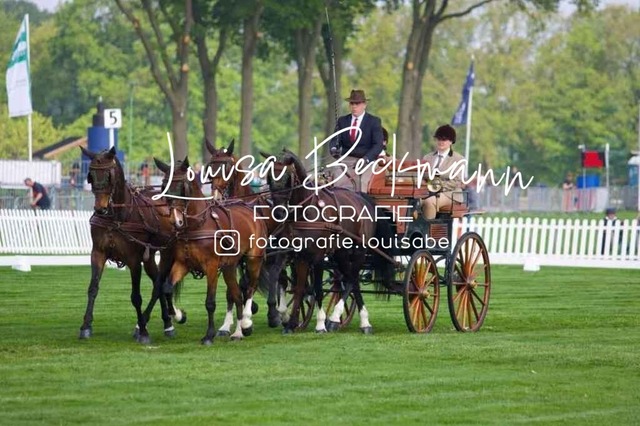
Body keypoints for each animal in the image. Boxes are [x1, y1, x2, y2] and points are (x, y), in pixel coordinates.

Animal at [79, 146, 185, 344]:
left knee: (160, 283)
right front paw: (86, 326)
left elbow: (136, 297)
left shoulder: (134, 260)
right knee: (158, 282)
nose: (100, 209)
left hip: (166, 252)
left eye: (109, 176)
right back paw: (168, 322)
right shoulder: (98, 253)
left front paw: (143, 332)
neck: (117, 216)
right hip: (150, 257)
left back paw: (167, 321)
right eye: (91, 175)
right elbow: (93, 288)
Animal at [154, 156, 269, 344]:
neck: (196, 226)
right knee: (237, 295)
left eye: (183, 187)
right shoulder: (183, 264)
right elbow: (167, 289)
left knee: (250, 288)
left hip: (254, 259)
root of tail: (249, 208)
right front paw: (179, 315)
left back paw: (246, 322)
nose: (175, 221)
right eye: (164, 187)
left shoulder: (212, 266)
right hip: (230, 266)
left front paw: (209, 335)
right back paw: (237, 332)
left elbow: (210, 302)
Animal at [261, 148, 386, 334]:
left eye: (288, 179)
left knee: (352, 278)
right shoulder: (294, 254)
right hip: (341, 252)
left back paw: (340, 319)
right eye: (269, 178)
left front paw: (320, 324)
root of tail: (362, 197)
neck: (304, 211)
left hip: (359, 250)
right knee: (350, 278)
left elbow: (317, 288)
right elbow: (289, 283)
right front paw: (282, 318)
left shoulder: (318, 256)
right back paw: (358, 321)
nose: (278, 213)